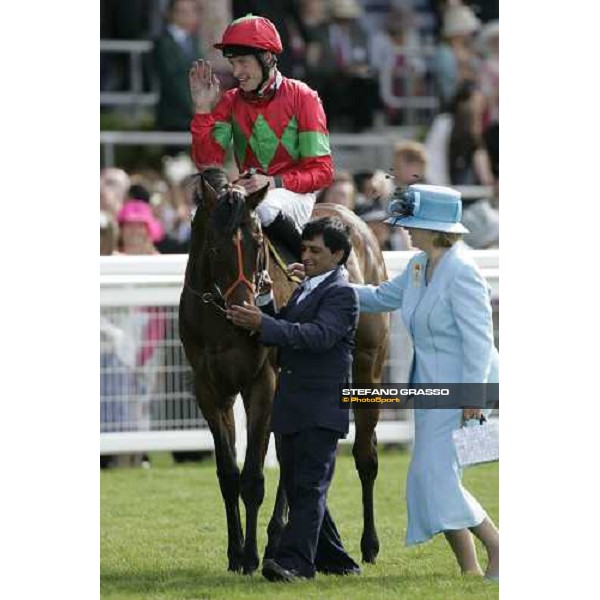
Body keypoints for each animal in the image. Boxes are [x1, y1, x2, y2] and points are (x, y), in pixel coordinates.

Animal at [178, 168, 392, 572]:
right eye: (215, 248)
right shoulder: (210, 389)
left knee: (365, 455)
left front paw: (249, 556)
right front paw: (236, 553)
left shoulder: (262, 383)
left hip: (368, 366)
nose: (245, 307)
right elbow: (228, 474)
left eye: (259, 244)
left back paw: (369, 545)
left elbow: (253, 477)